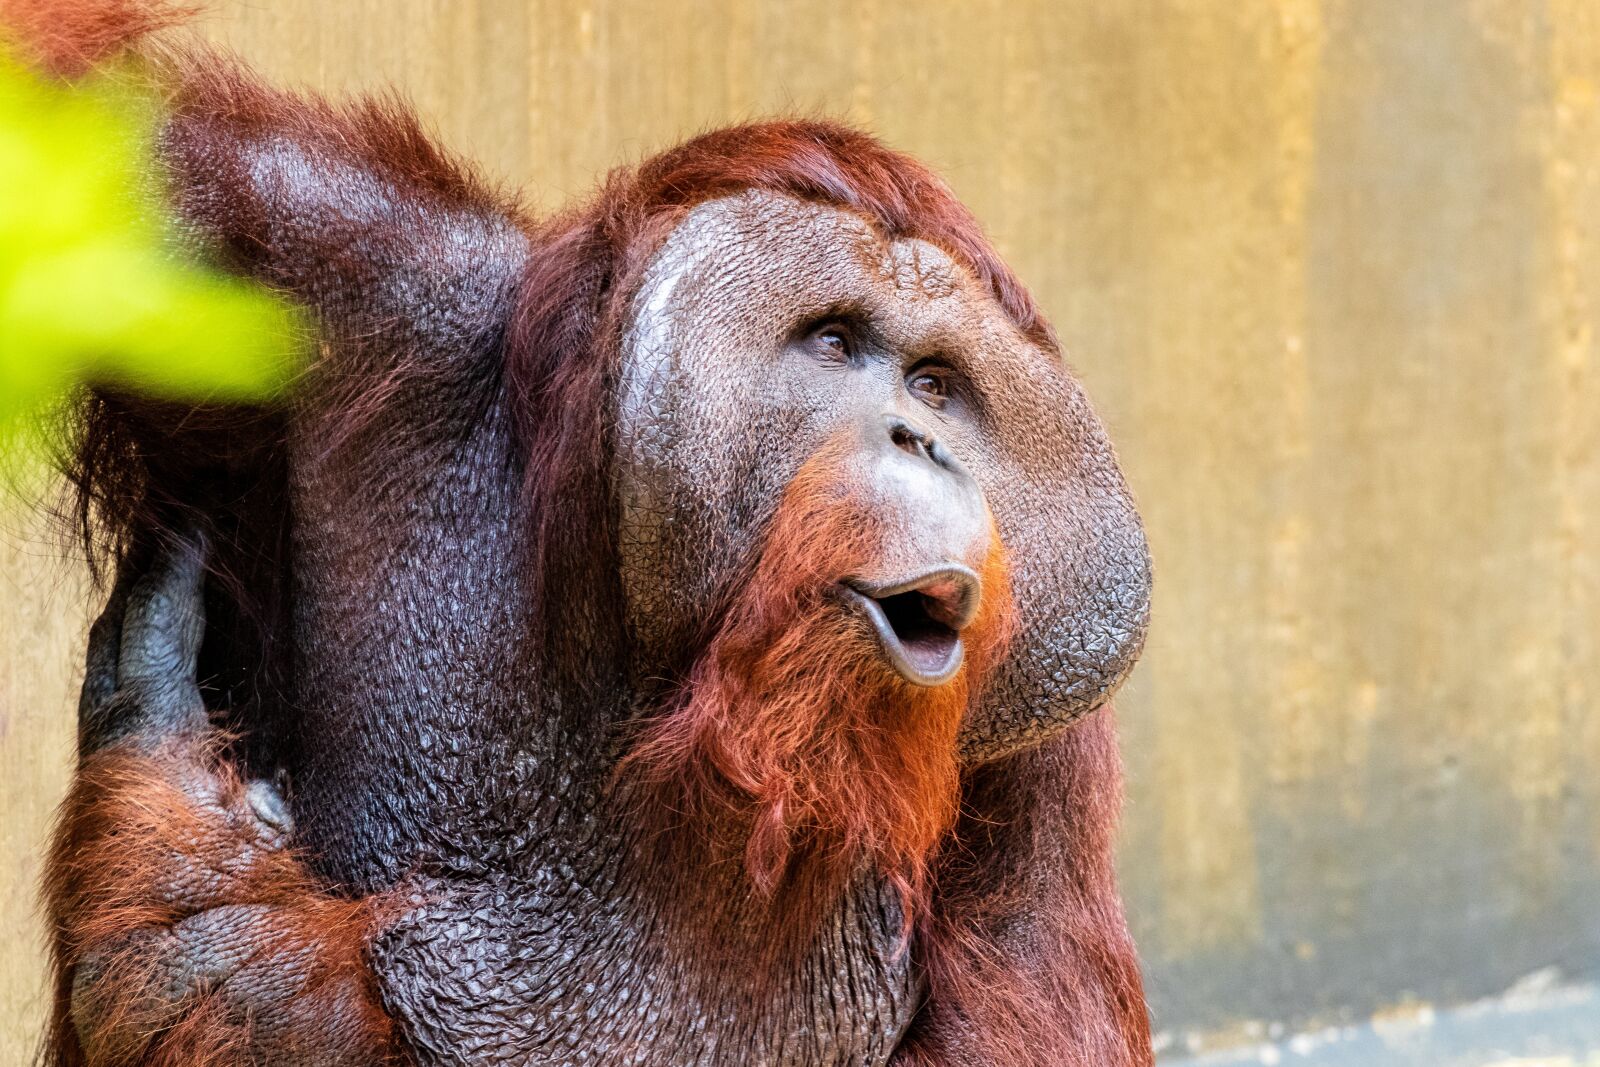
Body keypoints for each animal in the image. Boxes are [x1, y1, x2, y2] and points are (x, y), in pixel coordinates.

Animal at [23, 3, 1154, 1064]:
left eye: (934, 385)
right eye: (833, 341)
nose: (922, 440)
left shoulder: (1044, 743)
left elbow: (1035, 1004)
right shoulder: (326, 261)